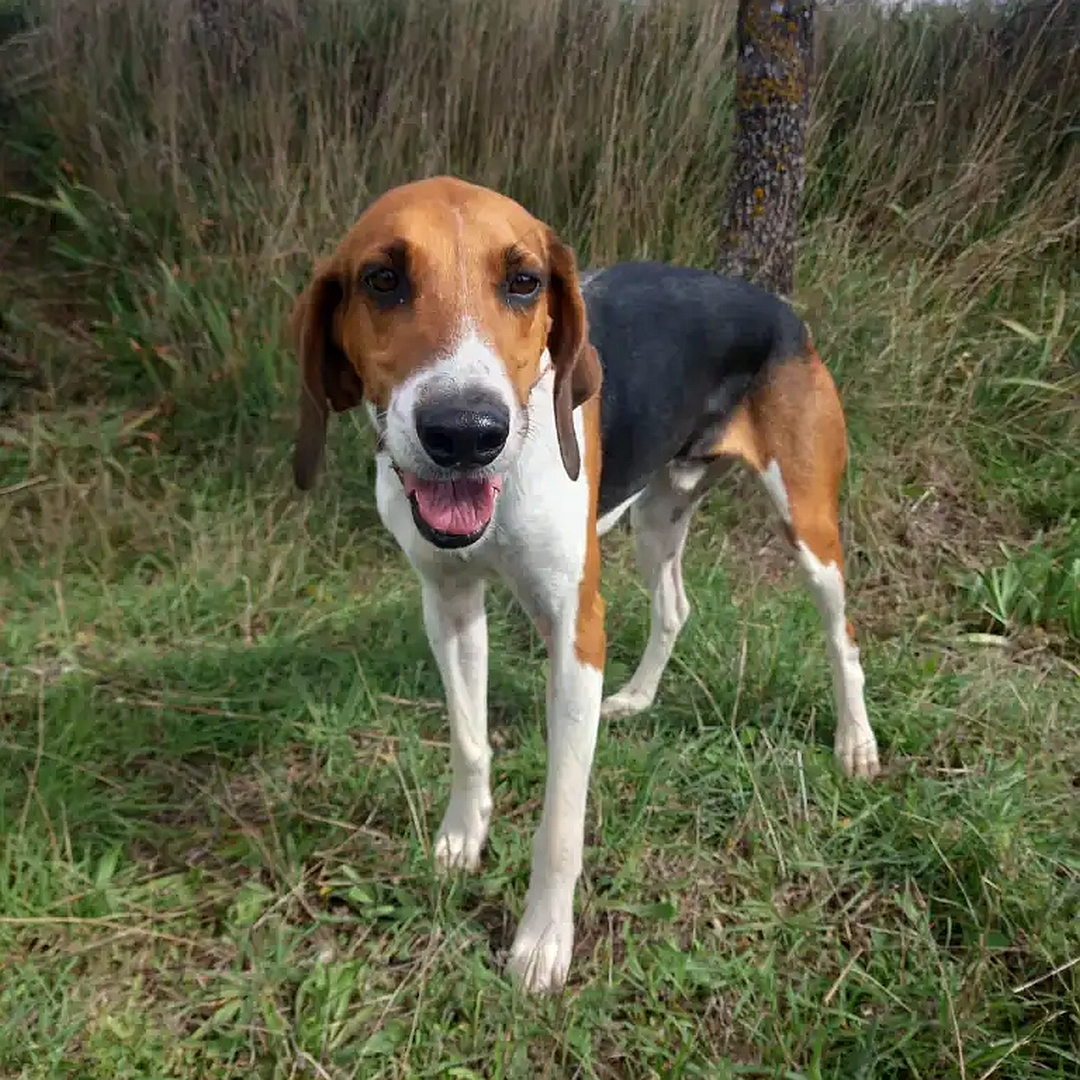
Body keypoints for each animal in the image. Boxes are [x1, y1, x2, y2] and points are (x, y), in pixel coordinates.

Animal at [291, 174, 881, 993]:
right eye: (381, 279)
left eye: (524, 281)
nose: (465, 432)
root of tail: (778, 309)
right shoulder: (448, 604)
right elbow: (470, 742)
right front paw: (462, 837)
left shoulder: (577, 633)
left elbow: (561, 823)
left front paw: (543, 943)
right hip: (657, 520)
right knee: (677, 605)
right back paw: (638, 696)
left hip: (809, 528)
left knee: (841, 634)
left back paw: (856, 743)